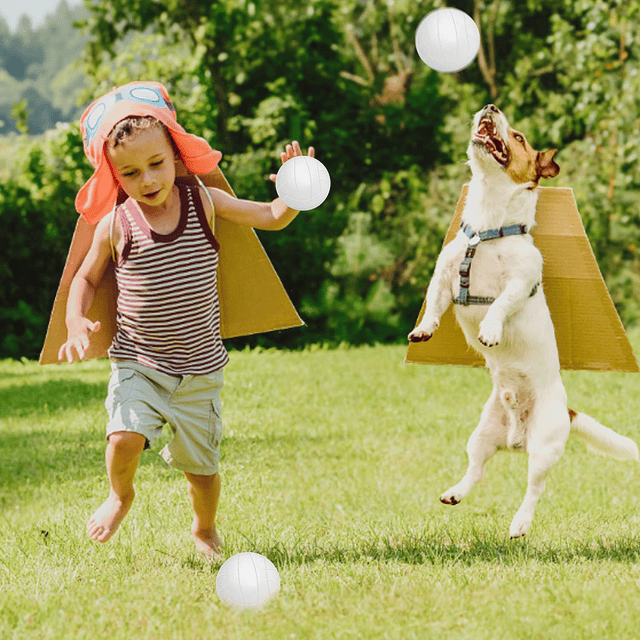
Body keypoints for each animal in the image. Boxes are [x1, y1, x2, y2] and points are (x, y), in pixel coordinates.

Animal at [408, 102, 636, 536]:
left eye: (519, 138)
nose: (491, 106)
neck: (486, 230)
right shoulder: (443, 276)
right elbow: (434, 304)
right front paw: (424, 329)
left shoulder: (520, 280)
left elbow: (500, 303)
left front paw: (490, 330)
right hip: (482, 434)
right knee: (477, 469)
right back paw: (455, 493)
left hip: (544, 448)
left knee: (535, 488)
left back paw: (520, 523)